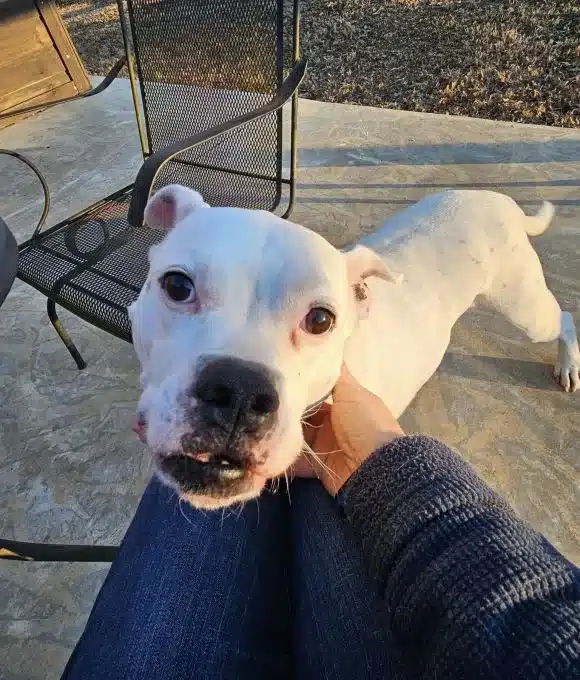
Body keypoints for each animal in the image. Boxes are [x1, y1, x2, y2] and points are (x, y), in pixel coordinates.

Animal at [129, 185, 579, 509]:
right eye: (177, 285)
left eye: (320, 320)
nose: (240, 391)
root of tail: (499, 200)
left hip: (525, 308)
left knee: (564, 317)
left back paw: (568, 364)